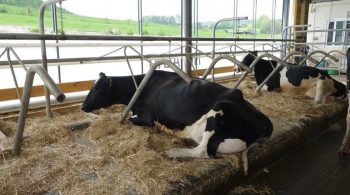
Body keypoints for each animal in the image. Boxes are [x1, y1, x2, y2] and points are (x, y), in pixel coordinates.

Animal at [82, 70, 274, 161]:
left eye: (96, 88)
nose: (83, 106)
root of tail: (266, 120)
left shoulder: (147, 117)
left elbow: (121, 118)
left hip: (219, 108)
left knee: (202, 151)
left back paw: (171, 152)